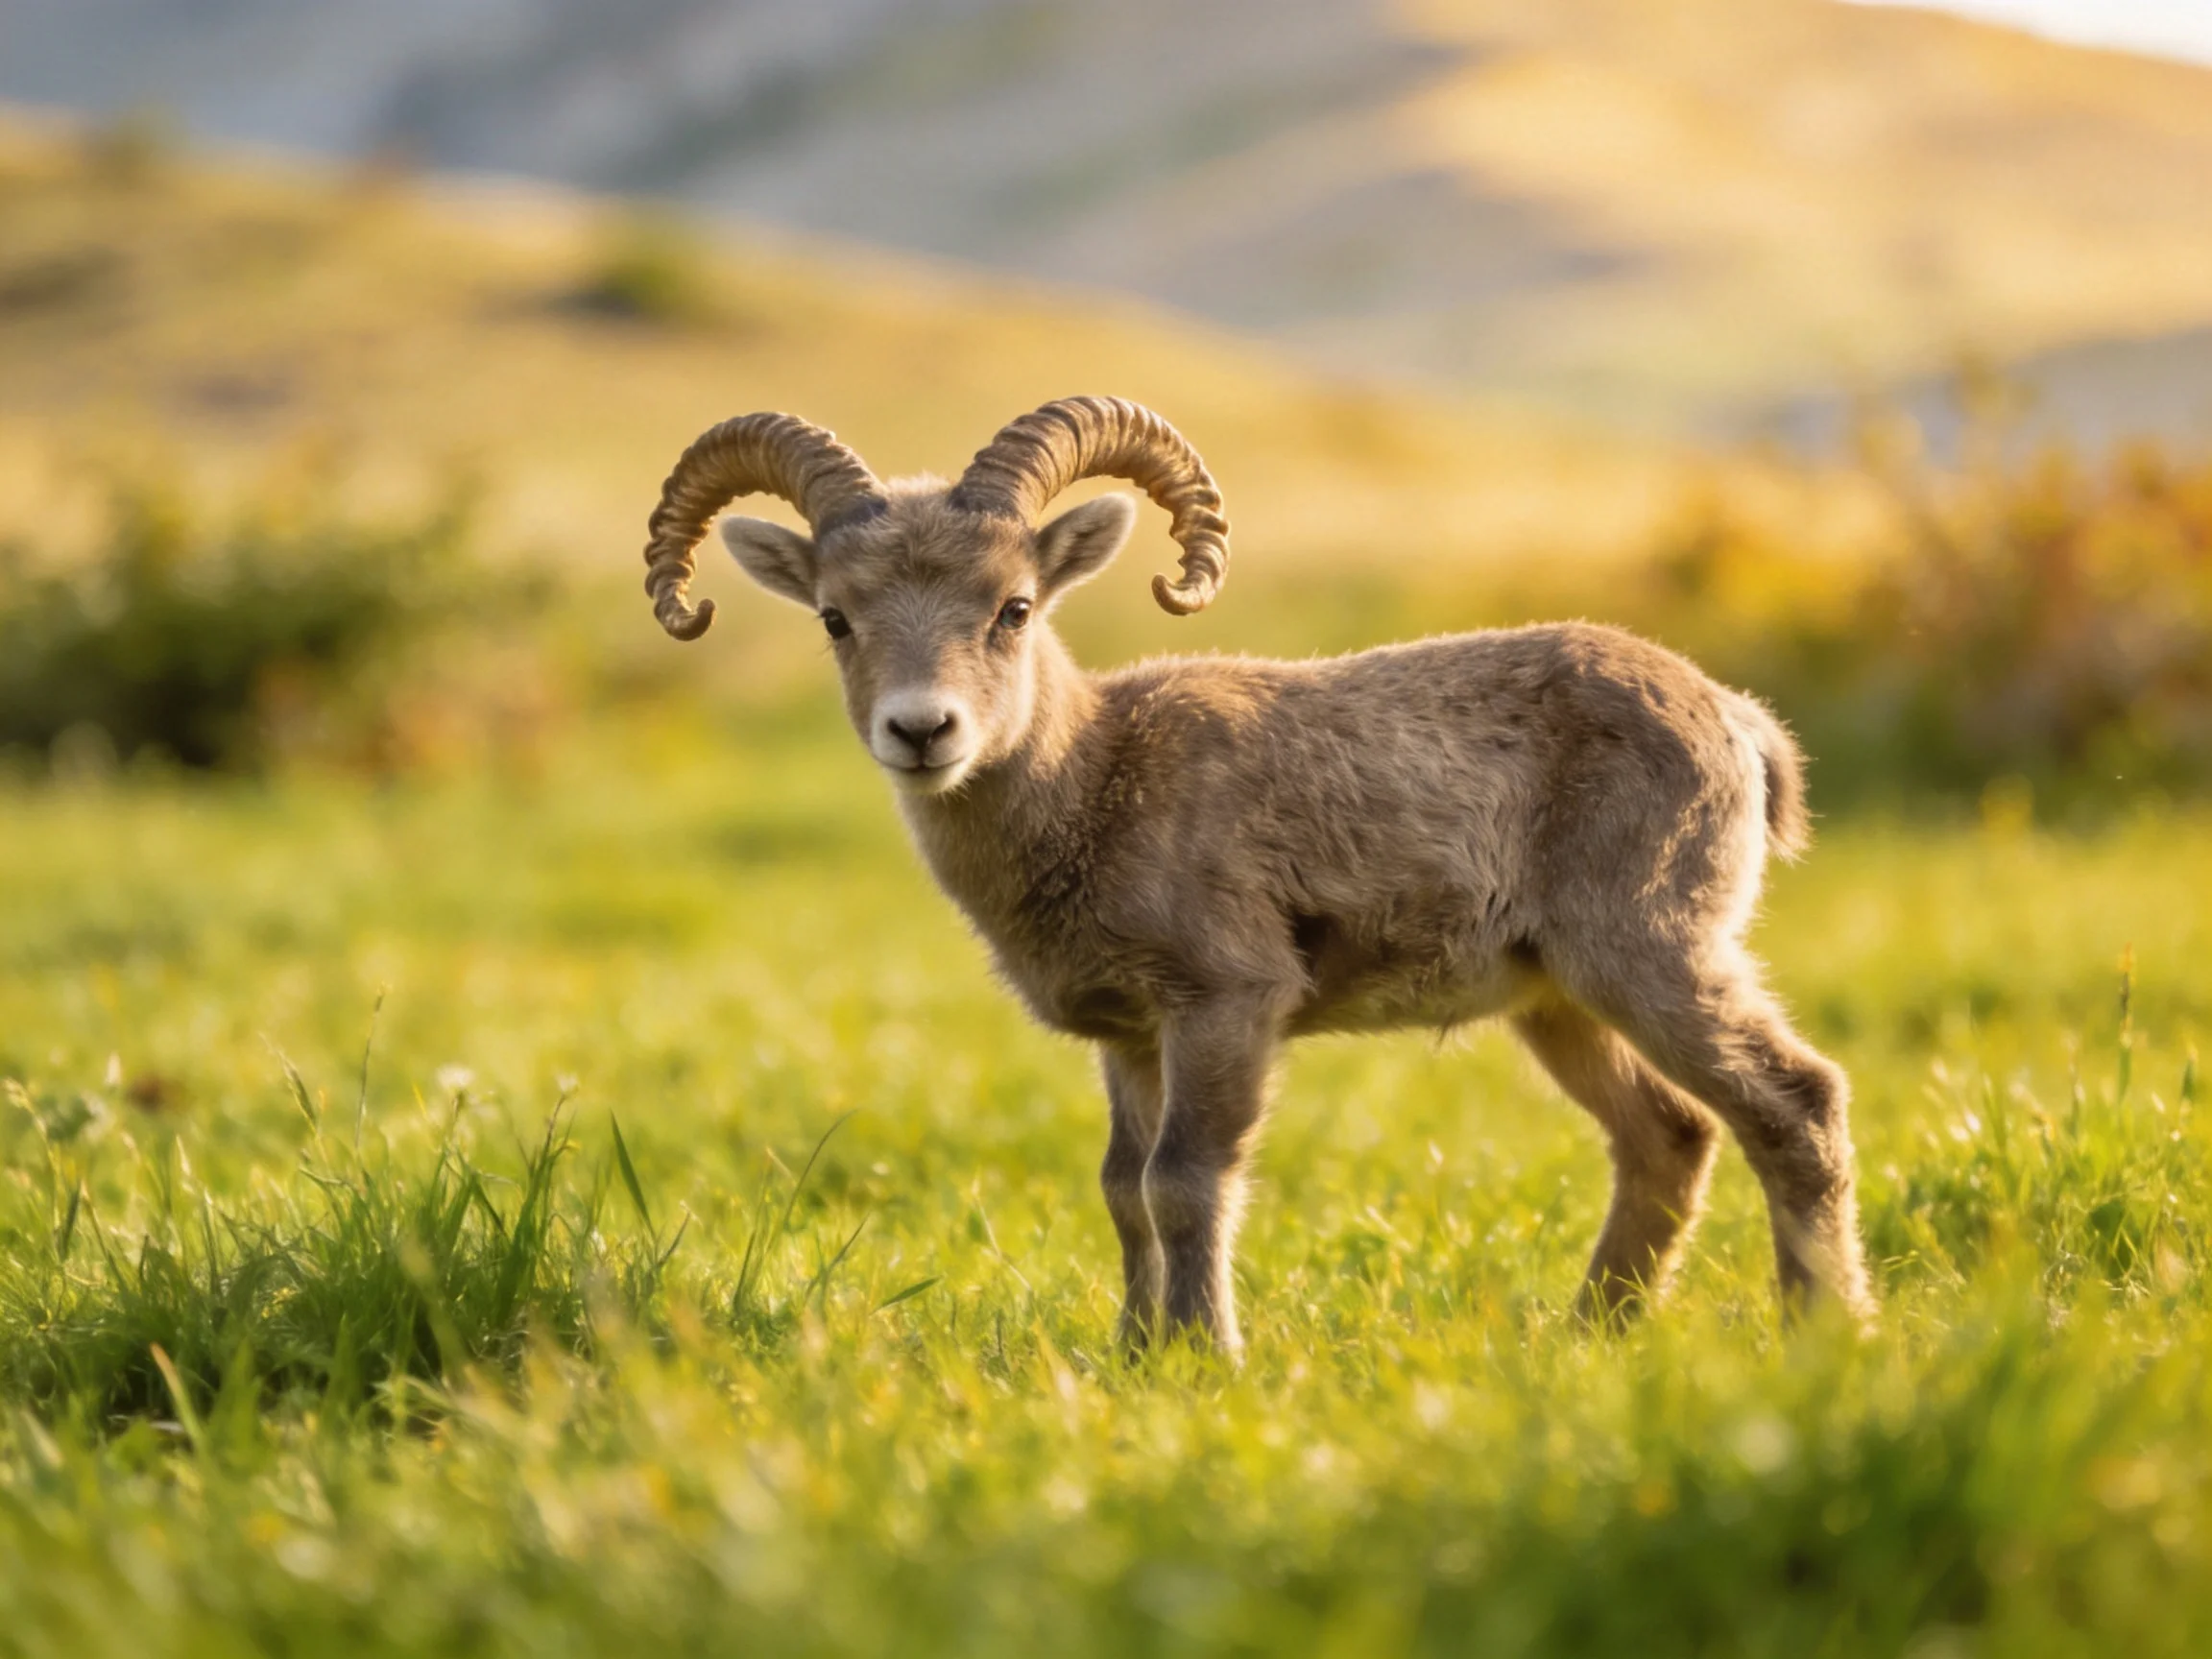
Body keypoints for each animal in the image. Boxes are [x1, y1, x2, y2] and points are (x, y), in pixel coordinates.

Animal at [638, 397, 1874, 1355]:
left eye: (1015, 607)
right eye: (837, 618)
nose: (922, 730)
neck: (1097, 783)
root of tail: (1740, 724)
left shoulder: (1226, 1004)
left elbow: (1188, 1180)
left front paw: (1206, 1353)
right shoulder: (1132, 1038)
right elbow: (1124, 1189)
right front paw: (1135, 1352)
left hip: (1654, 953)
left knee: (1794, 1101)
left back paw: (1823, 1329)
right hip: (1557, 1001)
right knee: (1669, 1136)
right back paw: (1592, 1333)